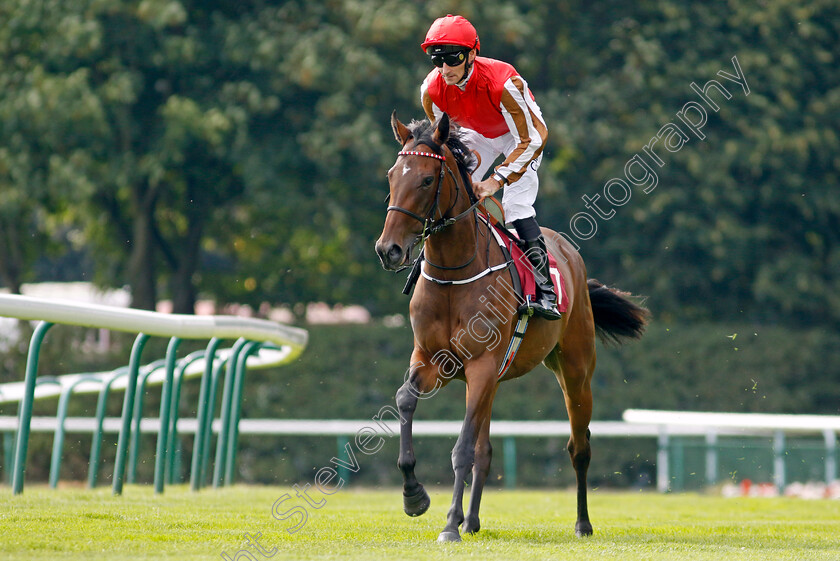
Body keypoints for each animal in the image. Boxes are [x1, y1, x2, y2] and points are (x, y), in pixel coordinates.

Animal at [376, 111, 648, 540]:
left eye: (426, 179)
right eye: (391, 175)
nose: (388, 250)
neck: (454, 275)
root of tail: (568, 252)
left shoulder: (481, 366)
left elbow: (462, 449)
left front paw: (449, 525)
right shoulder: (431, 360)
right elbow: (405, 401)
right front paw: (414, 496)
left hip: (574, 370)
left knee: (579, 446)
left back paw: (582, 523)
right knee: (486, 451)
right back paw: (472, 521)